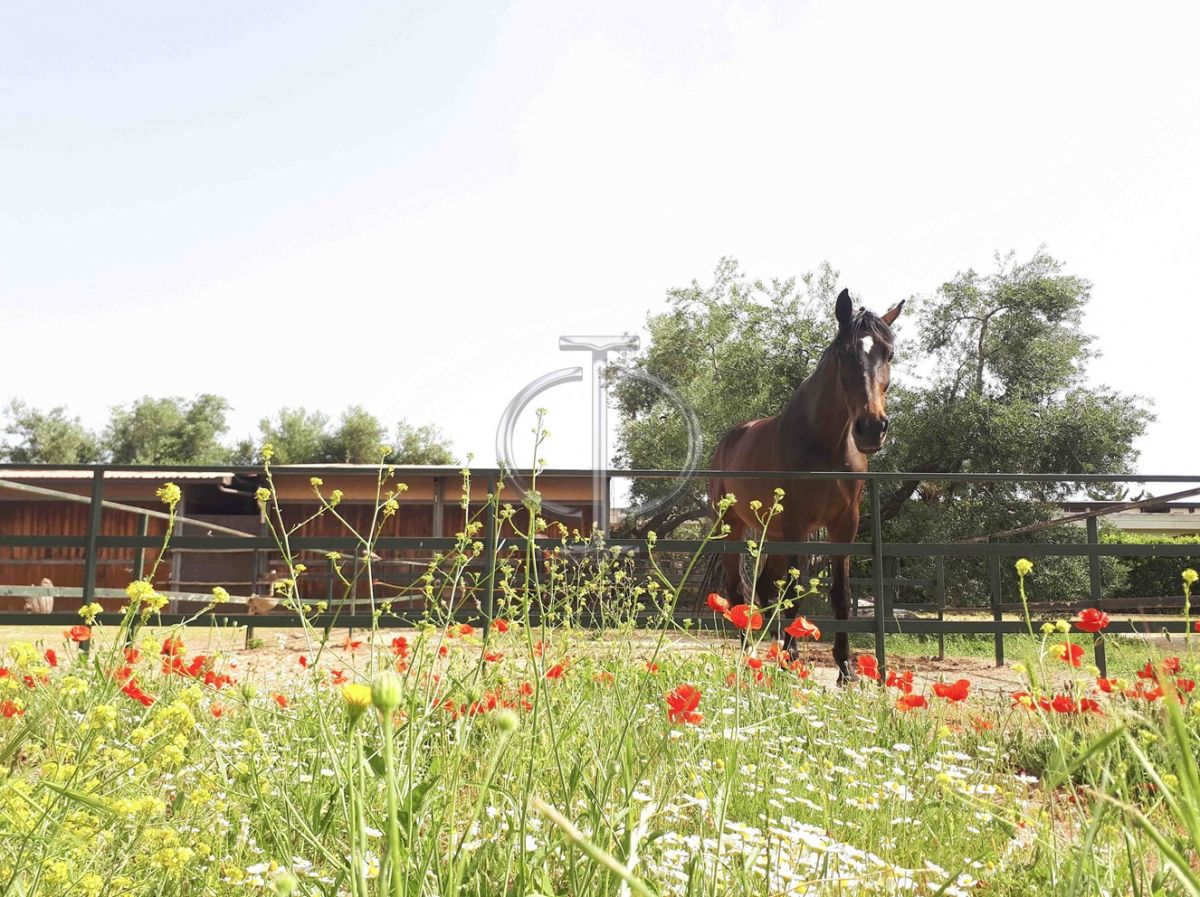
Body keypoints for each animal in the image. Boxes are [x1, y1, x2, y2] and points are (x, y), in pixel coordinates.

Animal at [710, 291, 902, 681]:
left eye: (888, 353)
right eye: (844, 353)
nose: (871, 428)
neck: (825, 443)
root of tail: (728, 440)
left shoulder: (845, 524)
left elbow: (840, 594)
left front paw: (846, 669)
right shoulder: (796, 522)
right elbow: (793, 590)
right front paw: (793, 658)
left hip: (774, 534)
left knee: (764, 586)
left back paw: (776, 650)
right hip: (733, 528)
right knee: (738, 590)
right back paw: (750, 653)